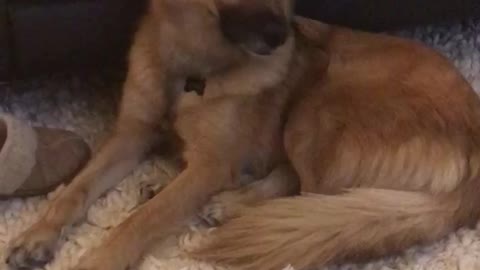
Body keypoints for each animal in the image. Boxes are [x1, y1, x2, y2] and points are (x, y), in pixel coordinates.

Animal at [8, 0, 480, 270]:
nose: (285, 37)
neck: (190, 67)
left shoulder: (211, 166)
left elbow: (141, 222)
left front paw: (100, 259)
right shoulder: (130, 135)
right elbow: (74, 190)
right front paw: (37, 235)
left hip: (318, 107)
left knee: (313, 195)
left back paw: (234, 205)